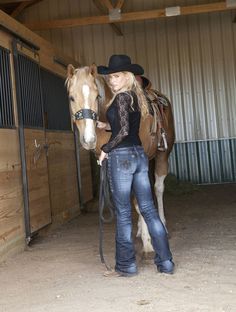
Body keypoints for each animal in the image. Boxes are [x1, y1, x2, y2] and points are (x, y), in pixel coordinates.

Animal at [66, 65, 175, 254]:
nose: (89, 139)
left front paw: (148, 244)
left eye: (97, 96)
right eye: (72, 97)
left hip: (163, 155)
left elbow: (139, 201)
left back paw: (162, 224)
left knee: (158, 188)